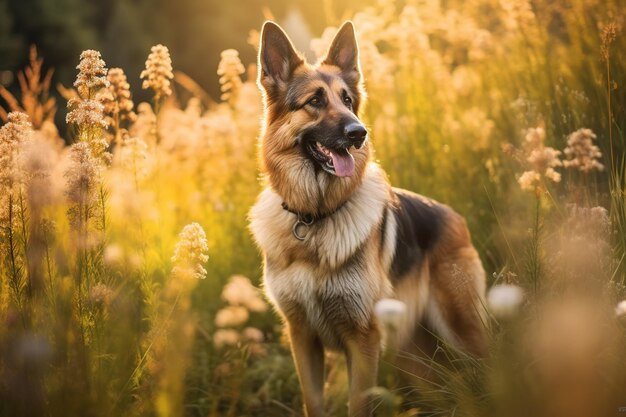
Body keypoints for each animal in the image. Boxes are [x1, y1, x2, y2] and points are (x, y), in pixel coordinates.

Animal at [250, 21, 488, 416]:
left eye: (347, 100)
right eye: (315, 101)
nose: (359, 133)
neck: (315, 218)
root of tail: (456, 218)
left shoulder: (362, 341)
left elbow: (358, 405)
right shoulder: (302, 338)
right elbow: (313, 403)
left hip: (462, 330)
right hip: (414, 356)